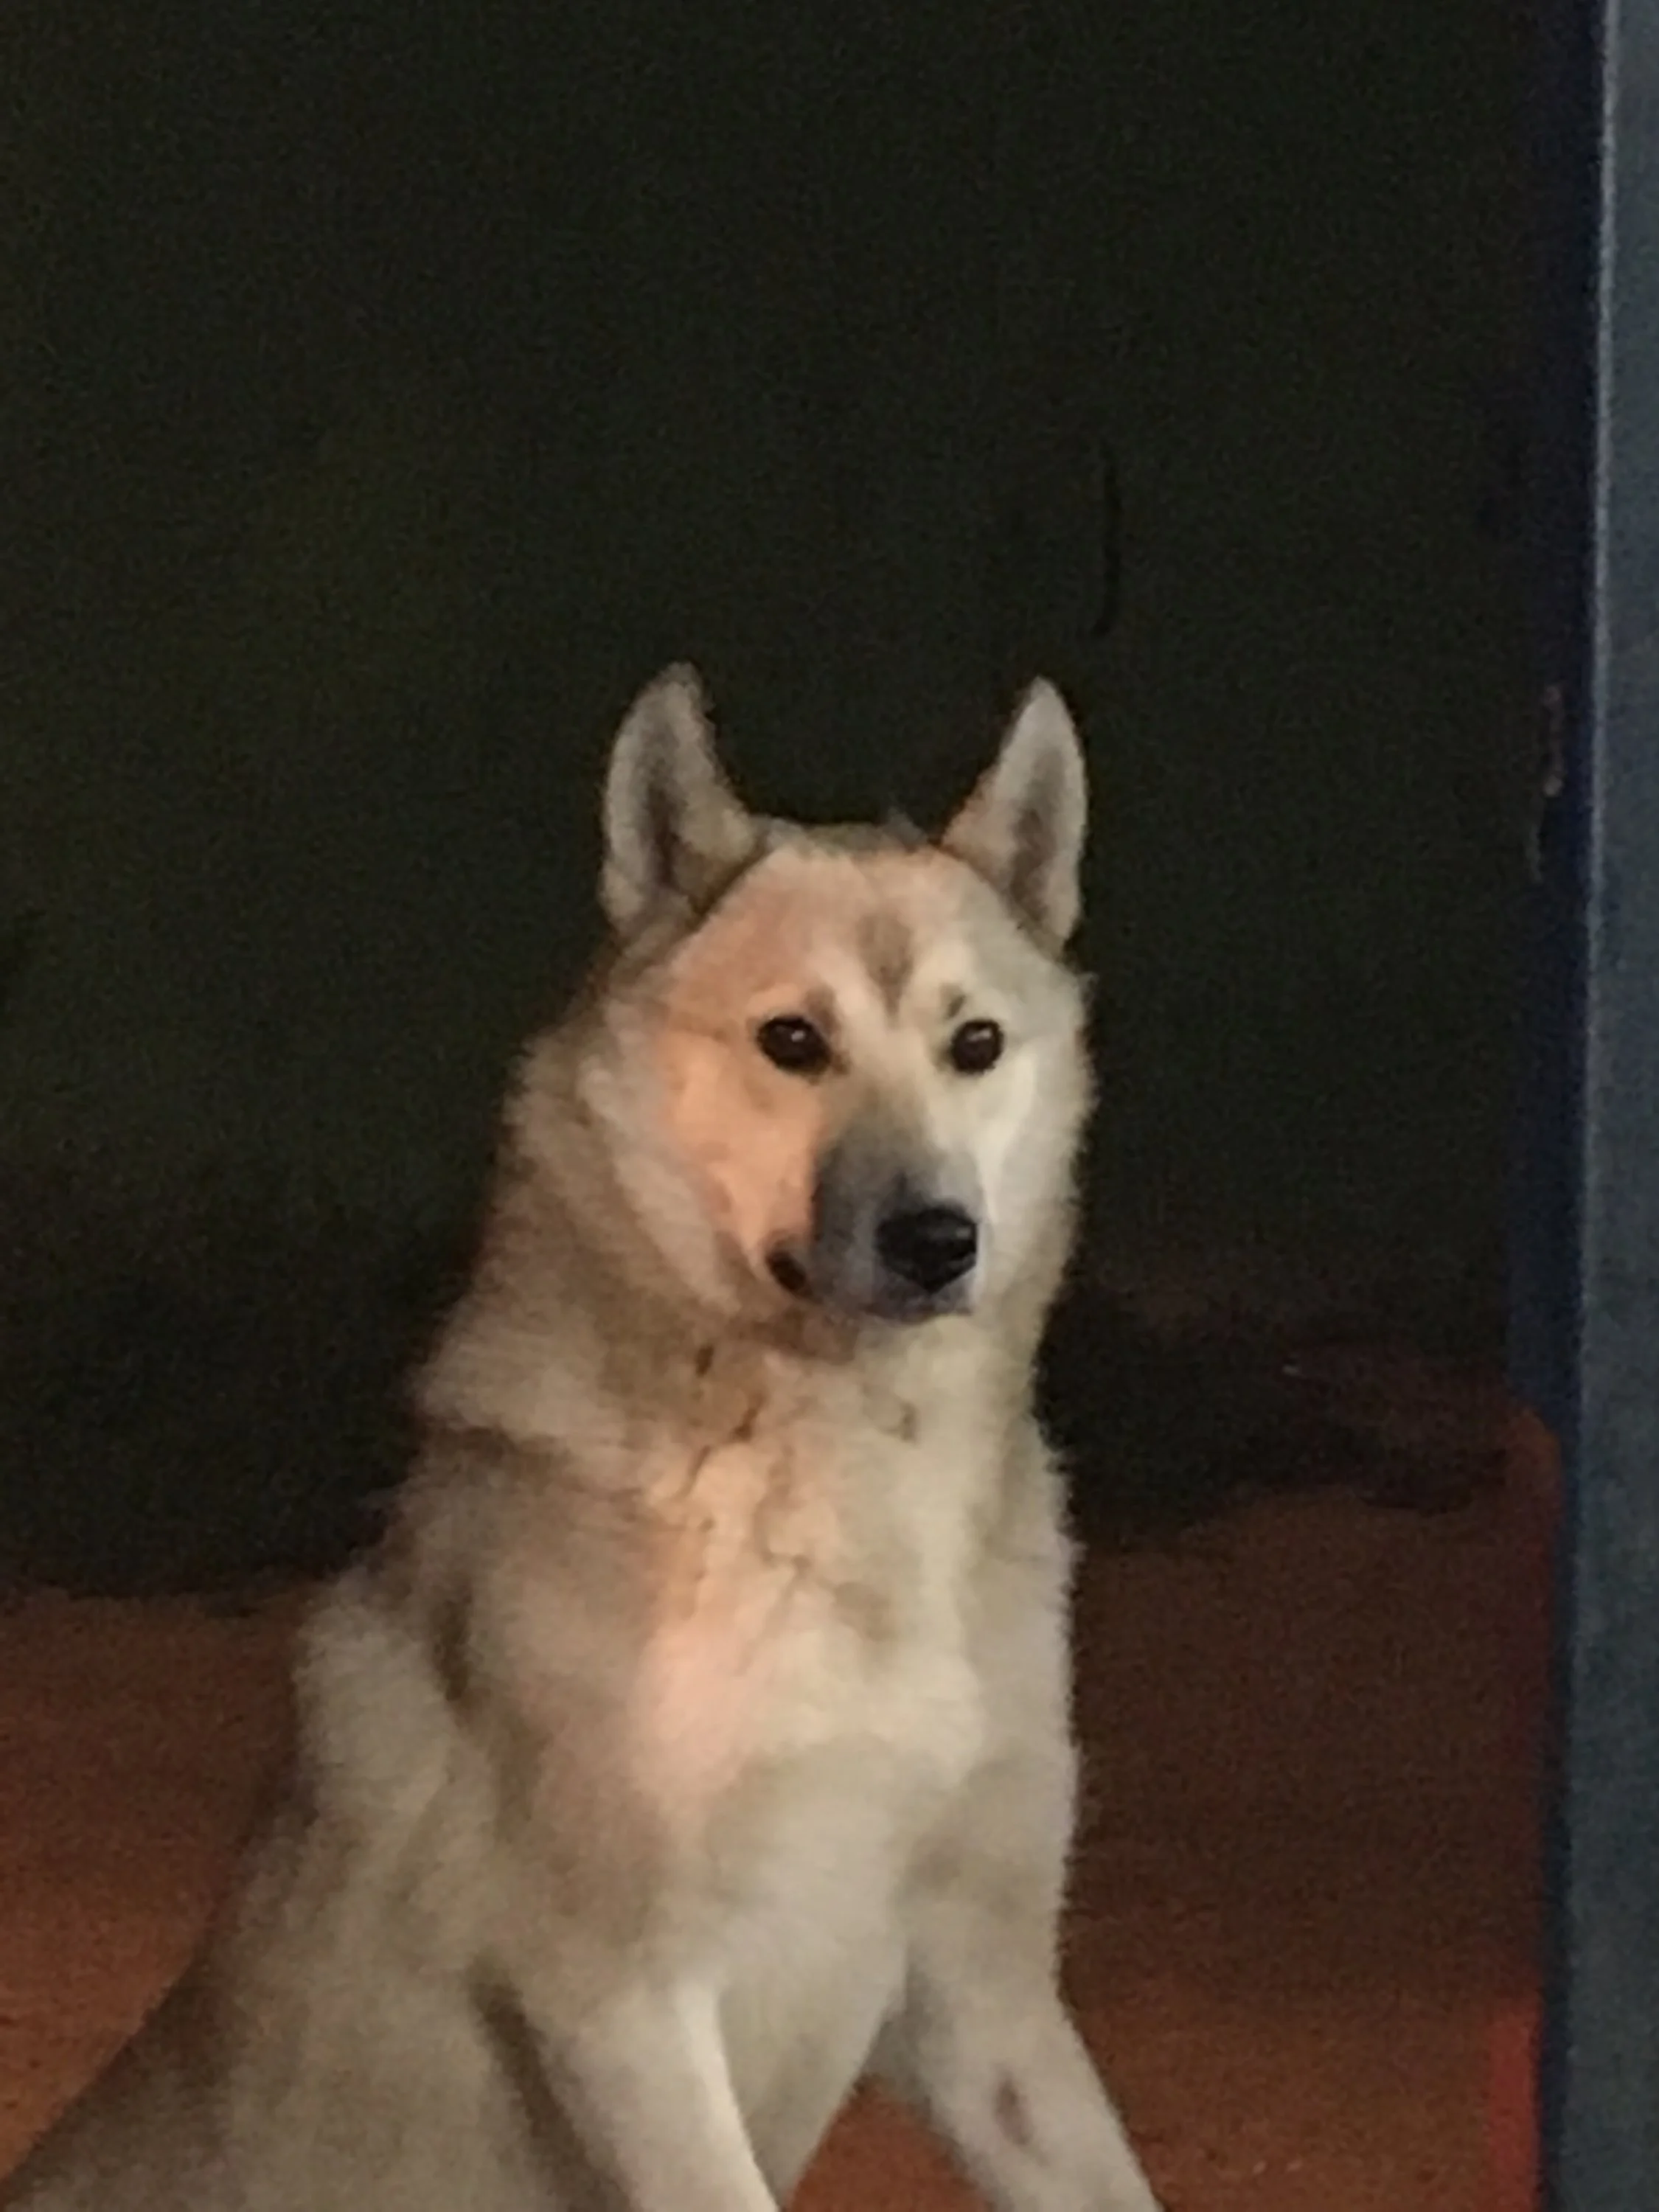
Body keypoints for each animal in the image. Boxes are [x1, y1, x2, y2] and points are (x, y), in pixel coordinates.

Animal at [0, 669, 1165, 2211]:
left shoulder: (988, 2003)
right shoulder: (627, 2007)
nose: (937, 1239)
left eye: (975, 1046)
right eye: (794, 1042)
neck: (836, 1485)